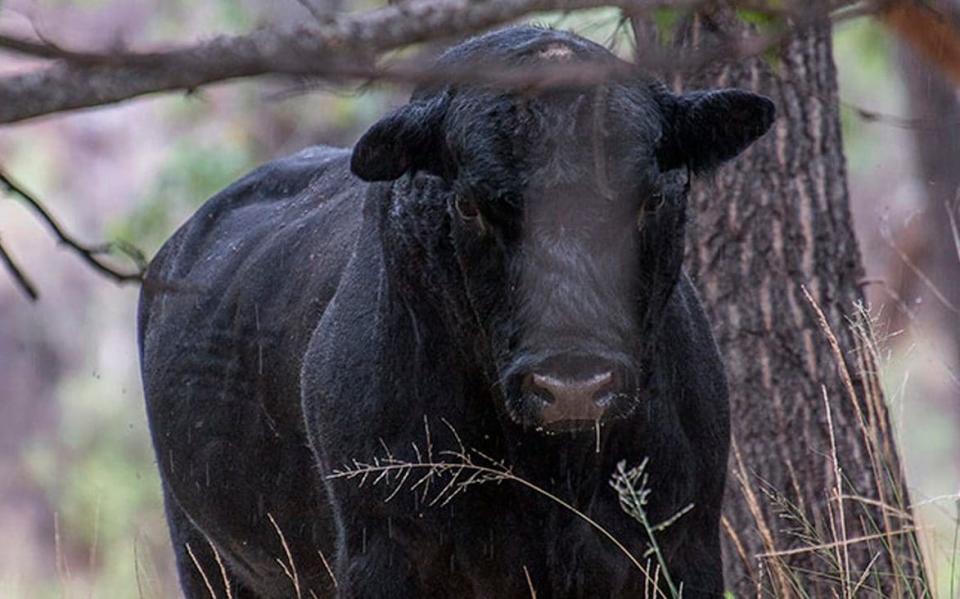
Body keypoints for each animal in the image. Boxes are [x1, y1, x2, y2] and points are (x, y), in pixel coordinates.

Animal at [139, 24, 776, 599]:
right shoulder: (381, 549)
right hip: (204, 559)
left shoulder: (685, 545)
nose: (573, 385)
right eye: (470, 205)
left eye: (652, 198)